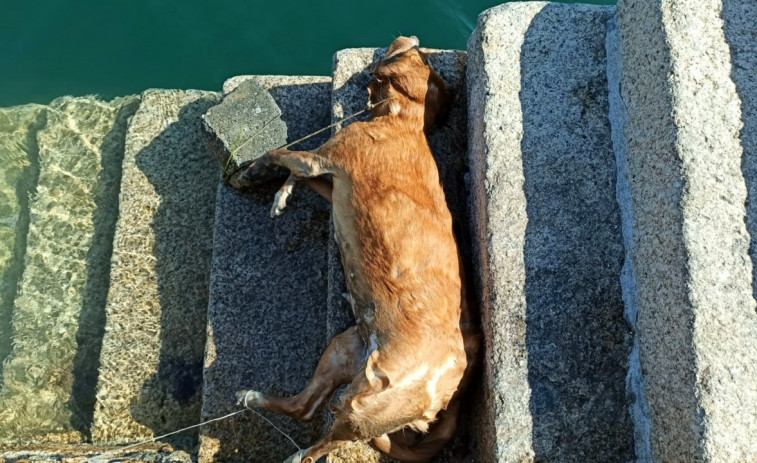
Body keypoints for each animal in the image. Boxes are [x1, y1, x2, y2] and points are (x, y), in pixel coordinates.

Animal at [238, 36, 478, 463]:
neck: (405, 120)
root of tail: (442, 397)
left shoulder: (322, 156)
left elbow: (281, 155)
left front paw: (255, 172)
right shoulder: (330, 179)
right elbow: (297, 176)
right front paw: (282, 194)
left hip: (361, 404)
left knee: (321, 438)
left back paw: (299, 449)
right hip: (345, 347)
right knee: (305, 407)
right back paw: (254, 399)